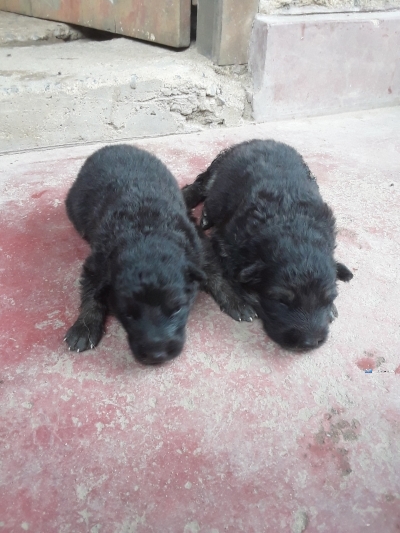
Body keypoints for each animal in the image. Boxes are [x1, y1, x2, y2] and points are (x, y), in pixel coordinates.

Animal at [65, 143, 205, 364]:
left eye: (177, 308)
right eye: (128, 314)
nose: (157, 355)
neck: (146, 232)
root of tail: (115, 146)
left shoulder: (196, 245)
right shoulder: (95, 264)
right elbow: (91, 295)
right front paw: (84, 328)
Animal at [183, 139, 352, 352]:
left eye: (328, 298)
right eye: (281, 301)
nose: (310, 343)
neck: (292, 225)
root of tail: (260, 140)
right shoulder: (223, 243)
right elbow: (221, 273)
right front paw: (238, 301)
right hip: (215, 171)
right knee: (198, 187)